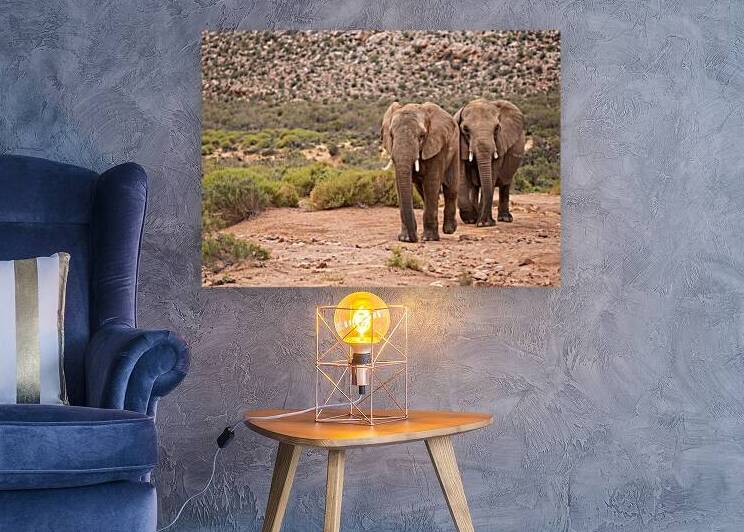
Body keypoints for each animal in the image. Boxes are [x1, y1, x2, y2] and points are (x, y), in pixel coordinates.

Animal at [381, 102, 459, 242]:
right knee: (422, 191)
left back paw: (449, 230)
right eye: (391, 135)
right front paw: (405, 239)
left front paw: (429, 238)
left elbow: (431, 182)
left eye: (422, 136)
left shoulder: (435, 146)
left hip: (455, 150)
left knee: (450, 188)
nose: (415, 239)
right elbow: (400, 185)